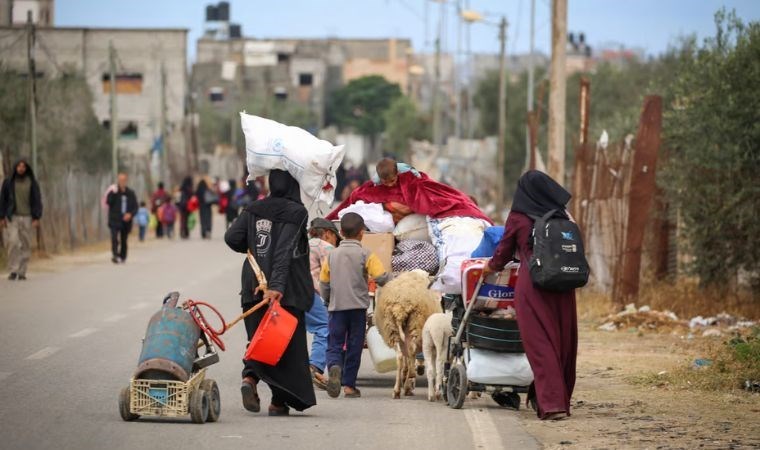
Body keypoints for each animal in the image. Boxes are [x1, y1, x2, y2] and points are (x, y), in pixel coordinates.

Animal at [374, 268, 440, 400]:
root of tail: (400, 307)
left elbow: (405, 358)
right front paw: (408, 380)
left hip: (392, 329)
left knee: (400, 356)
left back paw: (397, 390)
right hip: (416, 325)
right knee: (411, 351)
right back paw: (410, 377)